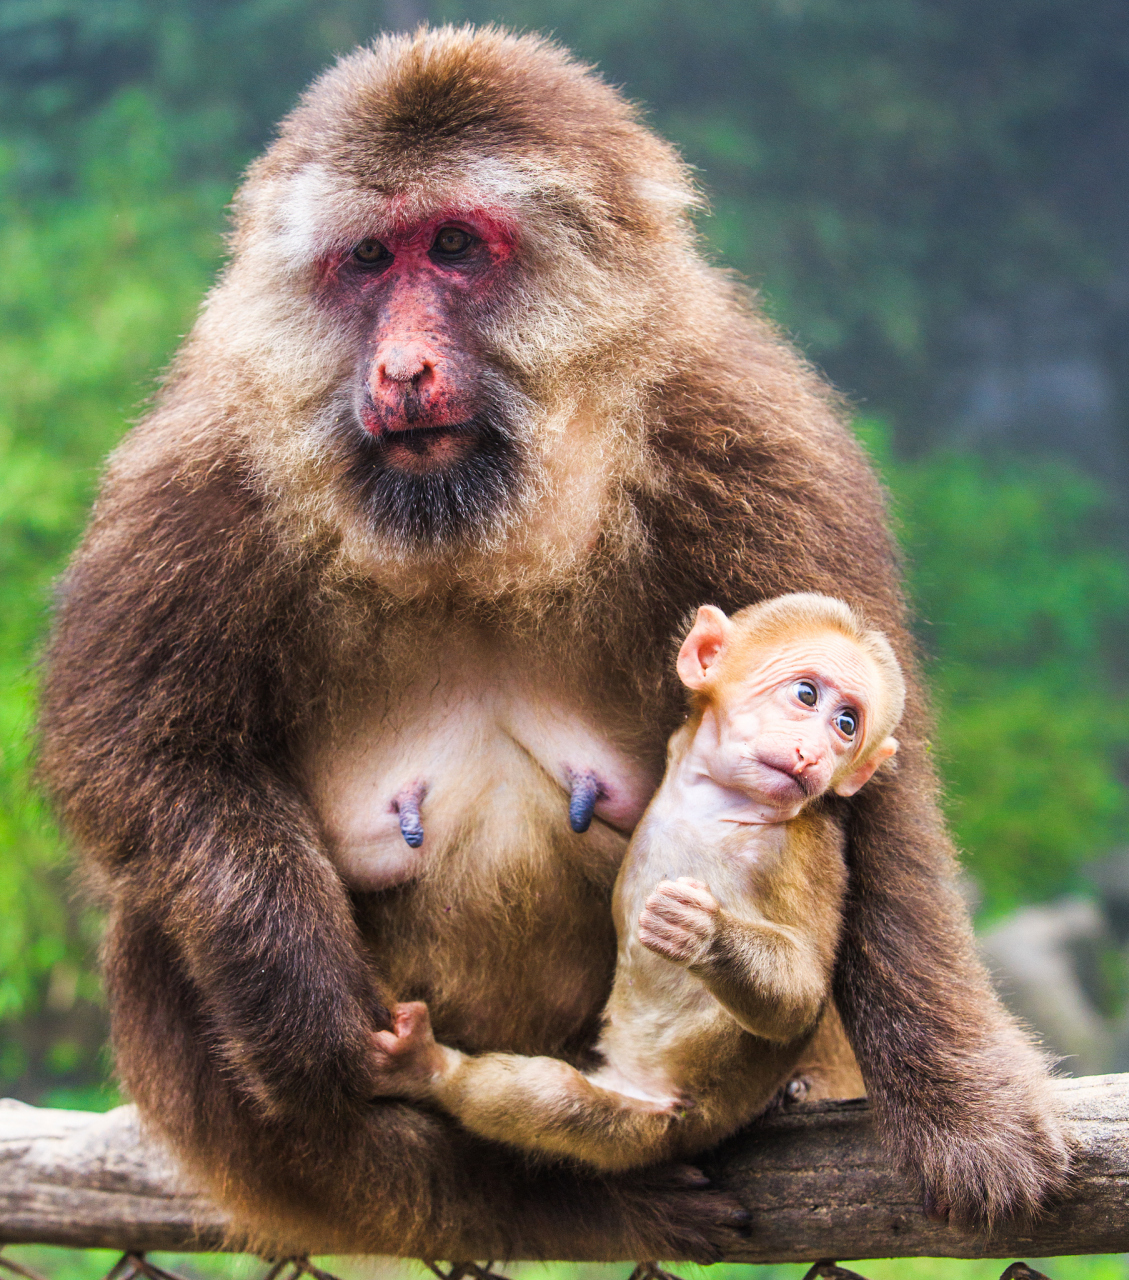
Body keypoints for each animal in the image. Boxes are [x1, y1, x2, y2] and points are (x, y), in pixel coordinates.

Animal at [373, 591, 901, 1172]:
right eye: (808, 695)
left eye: (847, 725)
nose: (815, 753)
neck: (723, 805)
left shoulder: (805, 847)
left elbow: (801, 996)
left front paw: (702, 933)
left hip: (655, 1125)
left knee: (556, 1102)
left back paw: (427, 1067)